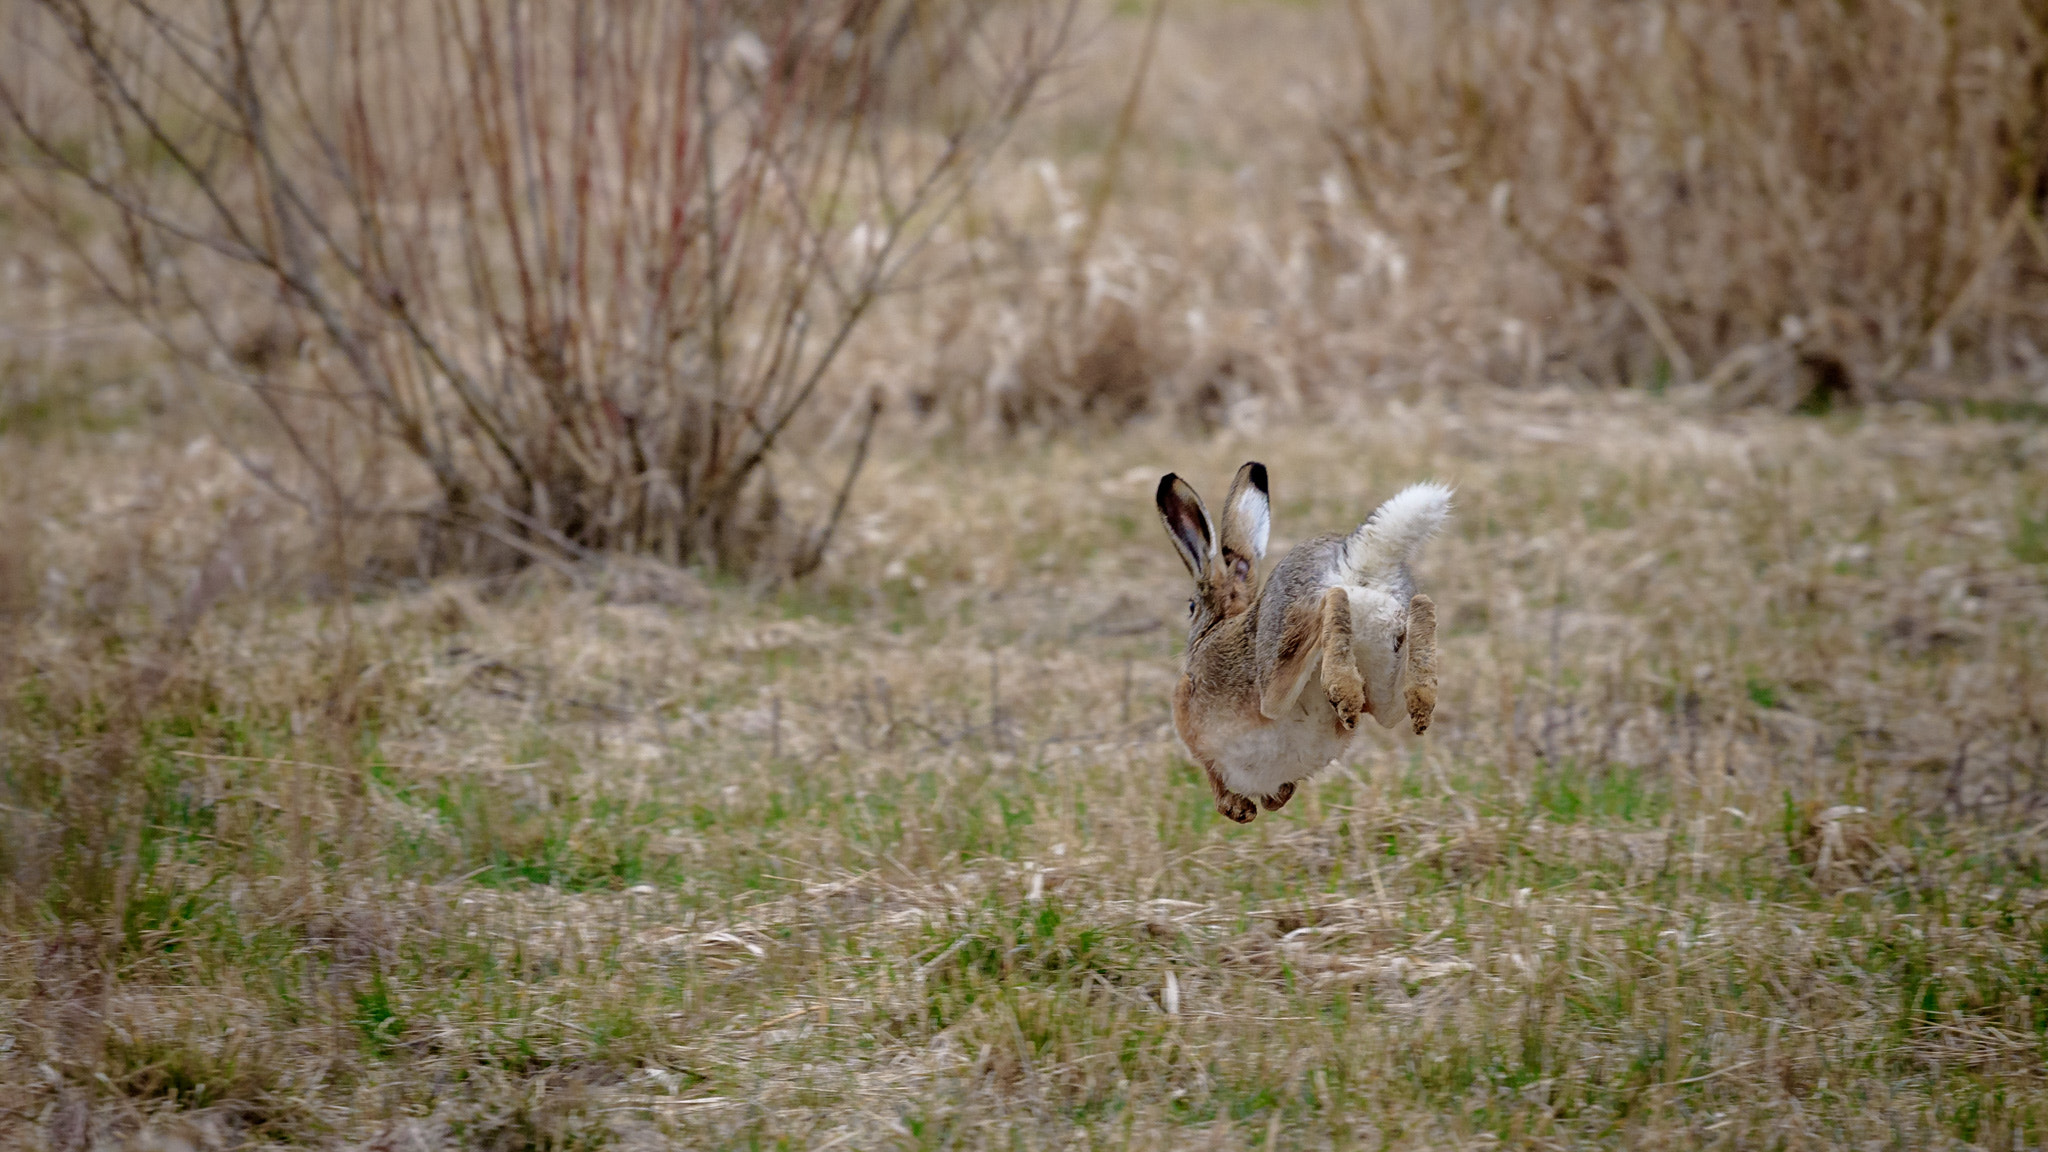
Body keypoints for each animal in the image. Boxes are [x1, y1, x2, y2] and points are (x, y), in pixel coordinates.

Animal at [1156, 462, 1449, 823]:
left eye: (1190, 606)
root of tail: (1353, 563)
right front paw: (1272, 799)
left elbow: (1214, 775)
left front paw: (1239, 809)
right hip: (1383, 666)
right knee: (1416, 618)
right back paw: (1416, 698)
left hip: (1273, 680)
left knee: (1327, 607)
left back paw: (1343, 691)